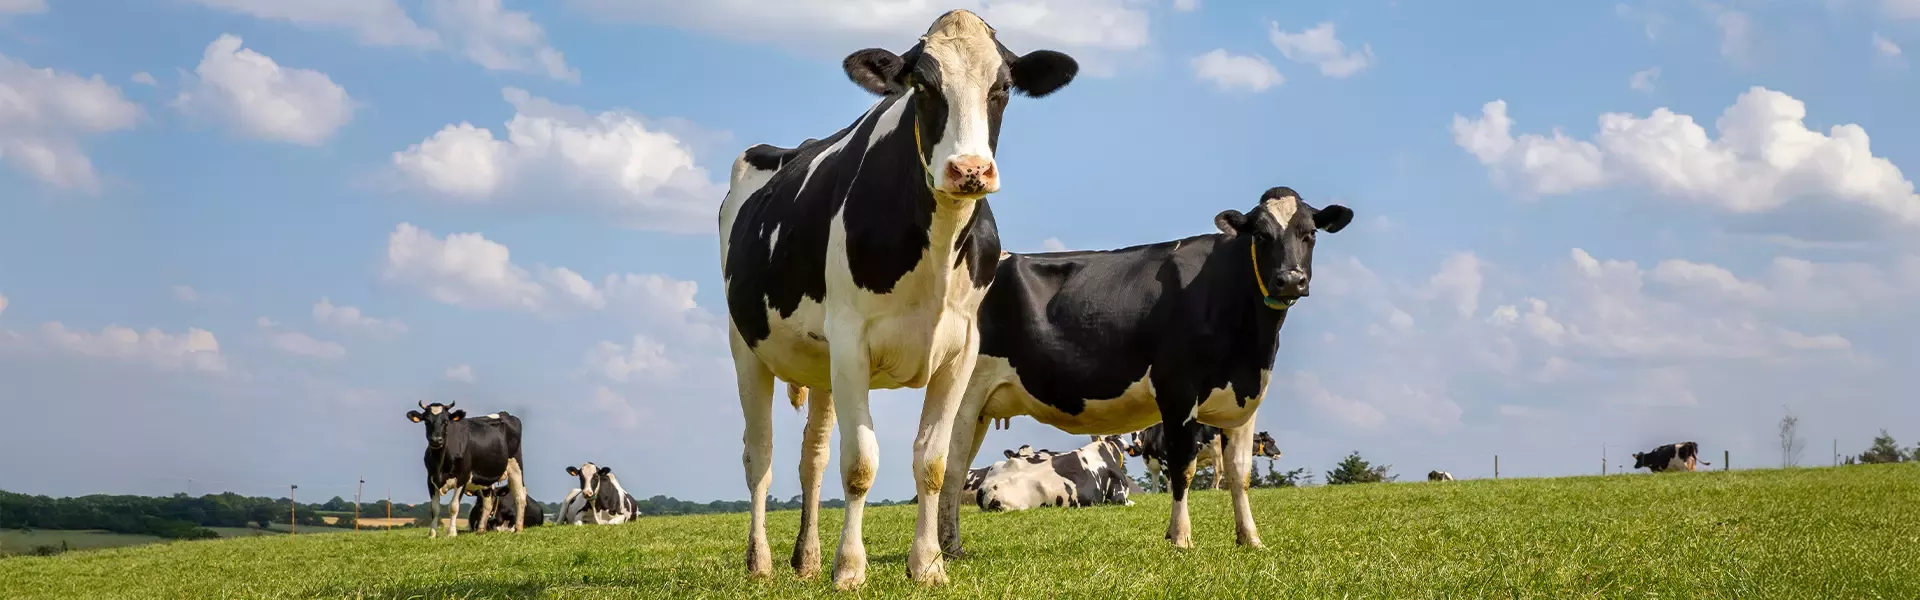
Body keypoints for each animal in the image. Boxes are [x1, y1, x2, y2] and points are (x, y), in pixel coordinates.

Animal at [405, 401, 527, 538]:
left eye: (446, 421)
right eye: (426, 421)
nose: (436, 440)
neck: (440, 464)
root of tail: (505, 414)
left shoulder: (462, 477)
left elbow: (453, 507)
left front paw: (452, 533)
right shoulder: (431, 479)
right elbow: (435, 508)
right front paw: (432, 534)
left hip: (516, 466)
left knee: (520, 496)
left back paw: (518, 529)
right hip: (485, 478)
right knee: (488, 502)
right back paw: (480, 530)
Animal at [717, 8, 1080, 587]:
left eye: (1002, 88)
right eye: (923, 86)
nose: (969, 170)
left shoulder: (961, 350)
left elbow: (932, 463)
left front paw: (928, 564)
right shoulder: (852, 343)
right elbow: (860, 464)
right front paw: (850, 568)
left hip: (821, 364)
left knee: (811, 457)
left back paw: (807, 559)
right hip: (746, 346)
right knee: (760, 456)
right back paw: (761, 561)